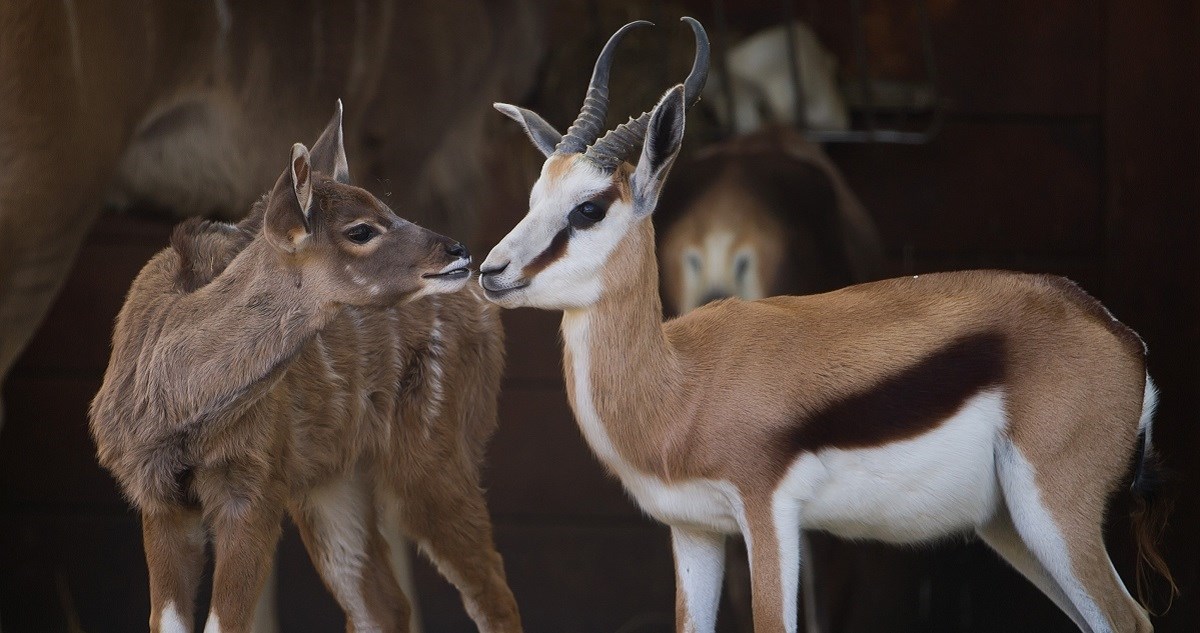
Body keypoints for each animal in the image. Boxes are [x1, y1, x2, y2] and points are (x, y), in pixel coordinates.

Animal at [84, 103, 516, 633]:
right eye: (361, 229)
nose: (459, 251)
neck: (178, 409)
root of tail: (483, 309)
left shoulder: (254, 492)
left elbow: (224, 623)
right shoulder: (161, 498)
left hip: (433, 457)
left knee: (491, 593)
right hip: (334, 481)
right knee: (383, 603)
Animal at [484, 18, 1171, 633]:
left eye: (589, 208)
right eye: (534, 200)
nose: (491, 271)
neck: (681, 385)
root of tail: (1121, 335)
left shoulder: (768, 515)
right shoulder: (694, 530)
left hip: (1052, 514)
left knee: (1130, 619)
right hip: (1009, 527)